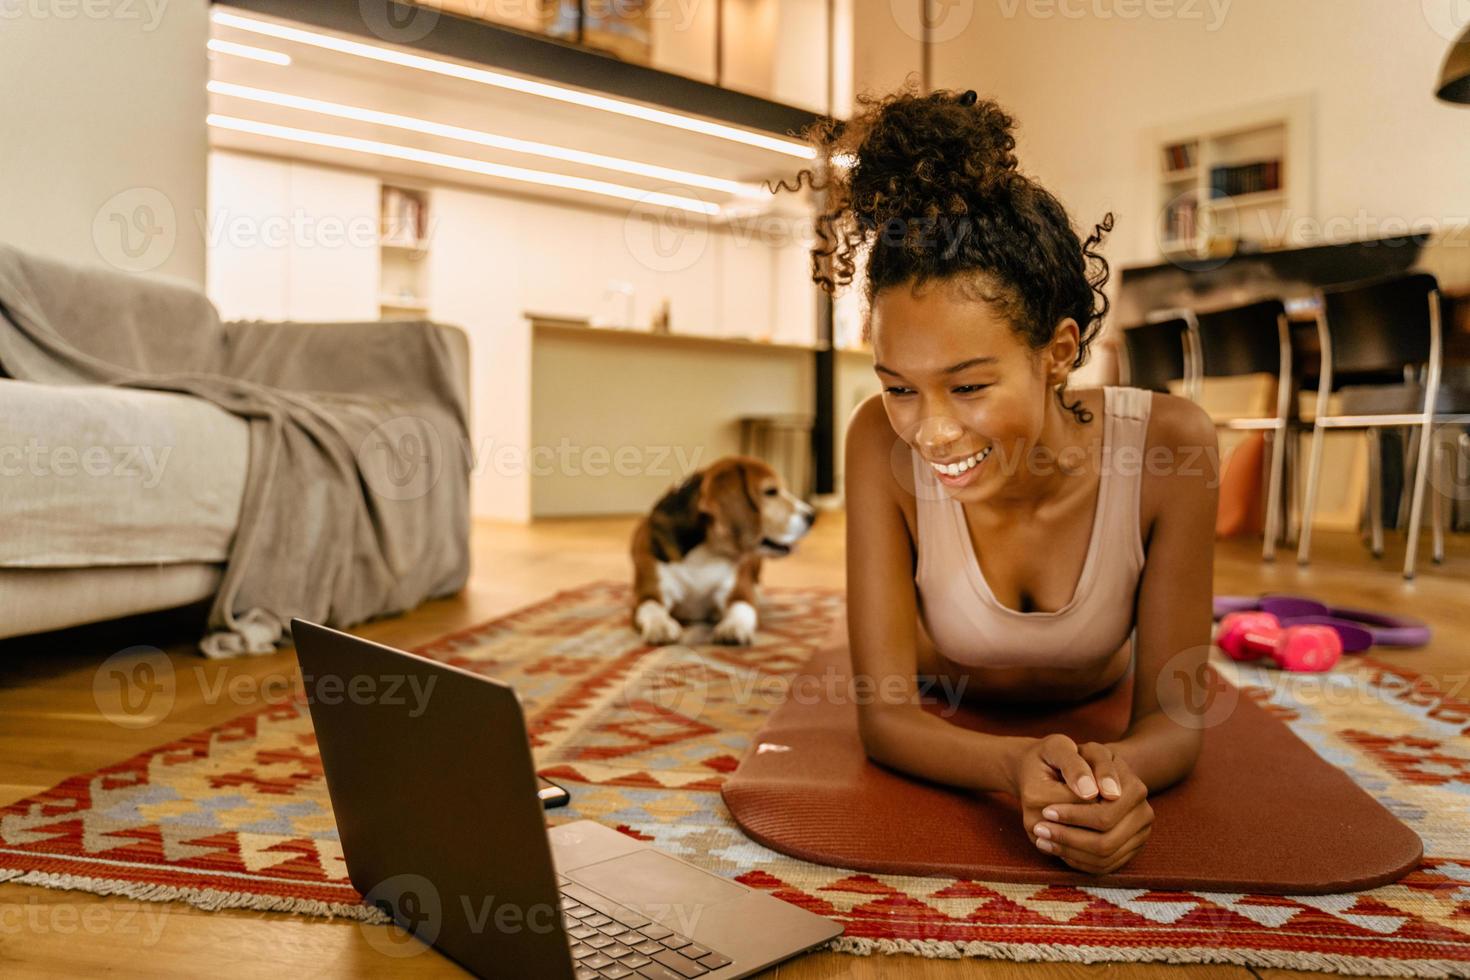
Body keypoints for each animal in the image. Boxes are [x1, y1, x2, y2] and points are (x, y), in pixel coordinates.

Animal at [632, 458, 817, 646]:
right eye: (770, 492)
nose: (812, 516)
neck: (704, 556)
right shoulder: (649, 593)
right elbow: (650, 607)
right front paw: (660, 625)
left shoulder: (740, 593)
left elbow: (742, 608)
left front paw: (733, 627)